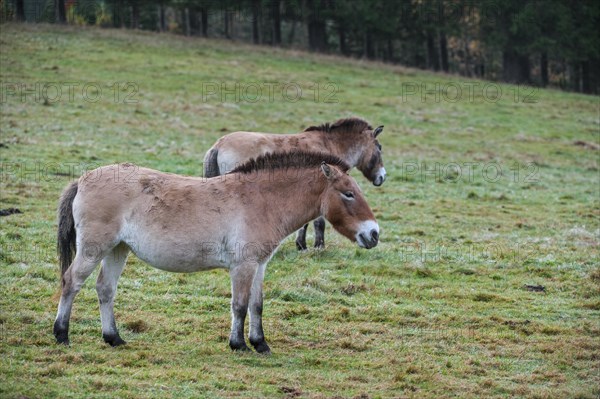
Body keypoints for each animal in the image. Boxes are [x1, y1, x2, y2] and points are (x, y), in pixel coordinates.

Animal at [52, 152, 380, 354]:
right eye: (348, 193)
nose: (374, 234)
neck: (260, 200)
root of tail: (82, 180)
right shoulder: (243, 266)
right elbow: (239, 305)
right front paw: (238, 344)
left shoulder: (259, 265)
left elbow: (257, 305)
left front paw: (261, 344)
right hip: (95, 248)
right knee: (71, 282)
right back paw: (61, 334)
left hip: (117, 249)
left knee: (105, 289)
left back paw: (114, 338)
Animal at [204, 117, 386, 252]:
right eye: (379, 147)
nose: (382, 177)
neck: (328, 144)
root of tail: (219, 145)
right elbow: (317, 223)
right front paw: (314, 246)